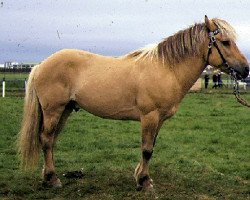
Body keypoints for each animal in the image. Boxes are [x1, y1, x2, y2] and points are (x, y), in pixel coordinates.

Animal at [17, 16, 248, 191]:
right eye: (225, 42)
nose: (245, 69)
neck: (166, 68)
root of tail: (40, 65)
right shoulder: (149, 116)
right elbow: (146, 149)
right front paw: (144, 182)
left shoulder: (159, 119)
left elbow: (151, 146)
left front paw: (140, 176)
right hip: (53, 111)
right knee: (46, 140)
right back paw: (53, 179)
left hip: (64, 110)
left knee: (51, 141)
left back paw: (48, 176)